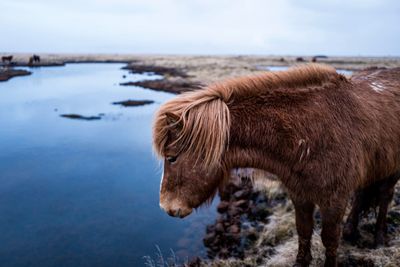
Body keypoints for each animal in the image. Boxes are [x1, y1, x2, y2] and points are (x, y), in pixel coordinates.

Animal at [152, 63, 400, 266]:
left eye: (172, 157)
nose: (165, 207)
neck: (310, 132)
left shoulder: (334, 200)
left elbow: (329, 241)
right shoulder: (300, 194)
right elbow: (303, 231)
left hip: (393, 172)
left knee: (385, 198)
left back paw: (379, 238)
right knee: (361, 196)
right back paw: (351, 230)